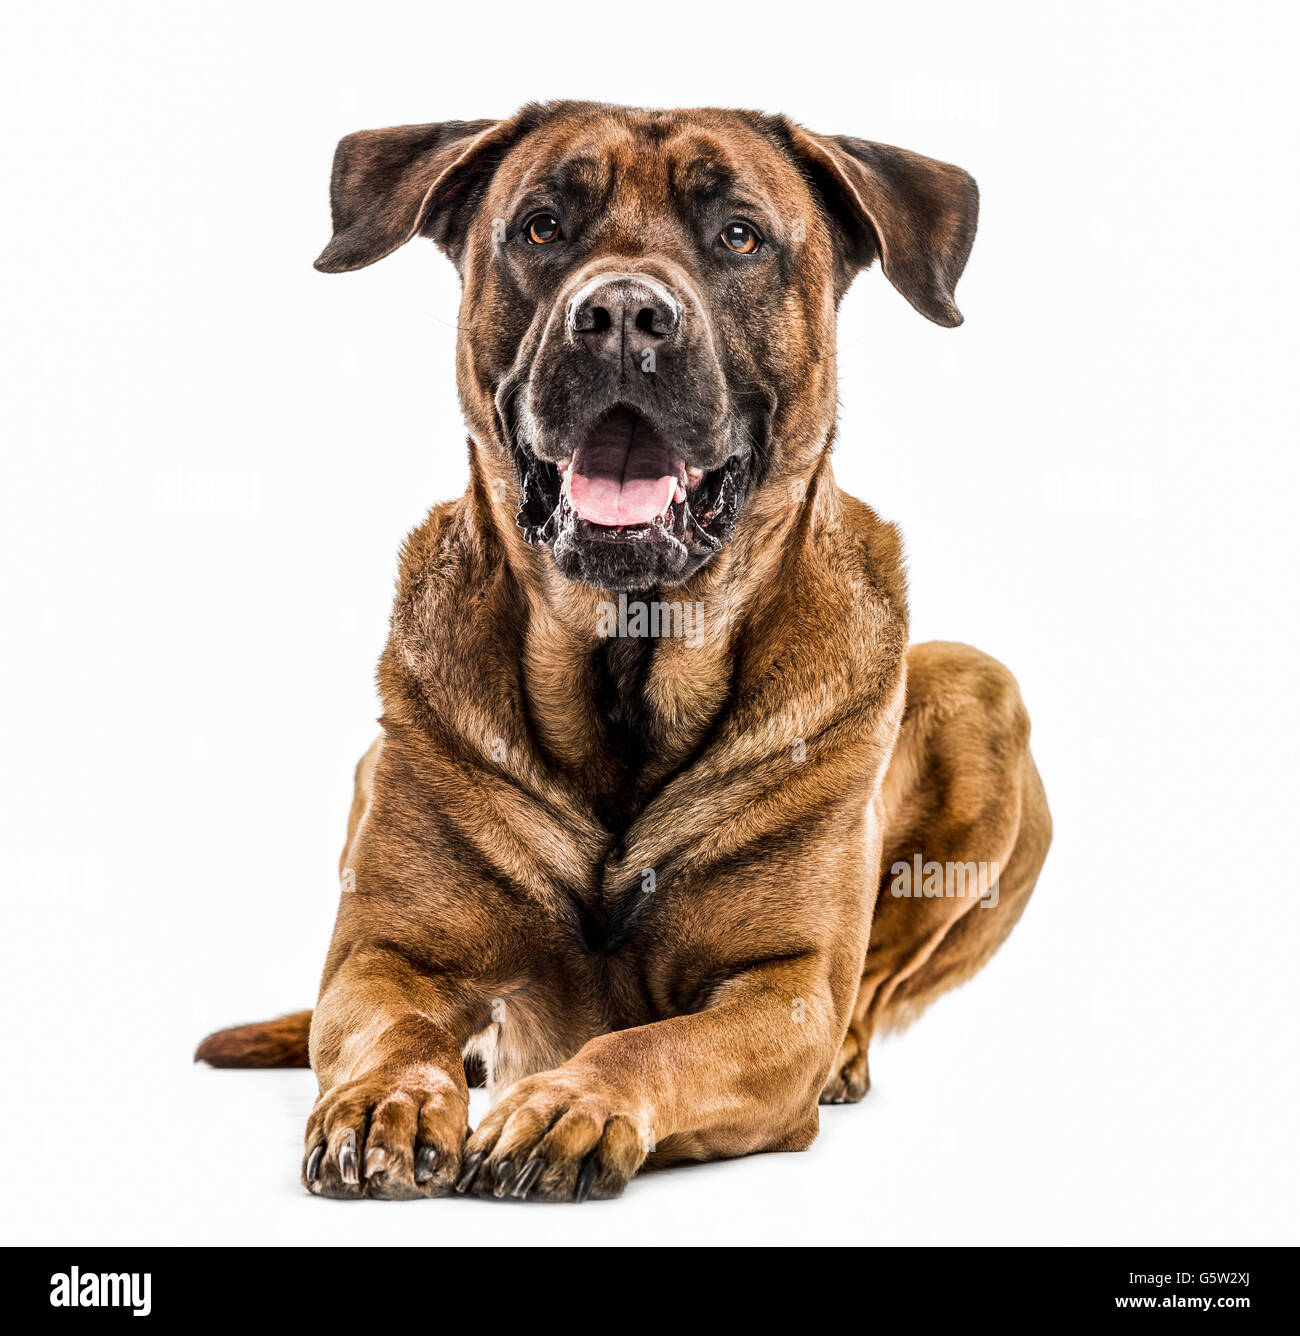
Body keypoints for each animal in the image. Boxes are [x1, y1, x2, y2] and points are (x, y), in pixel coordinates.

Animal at [197, 104, 1047, 1207]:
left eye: (739, 235)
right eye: (542, 227)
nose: (623, 317)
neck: (626, 667)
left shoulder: (782, 996)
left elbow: (660, 1043)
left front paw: (572, 1103)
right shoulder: (387, 950)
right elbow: (393, 1026)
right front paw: (387, 1099)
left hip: (981, 690)